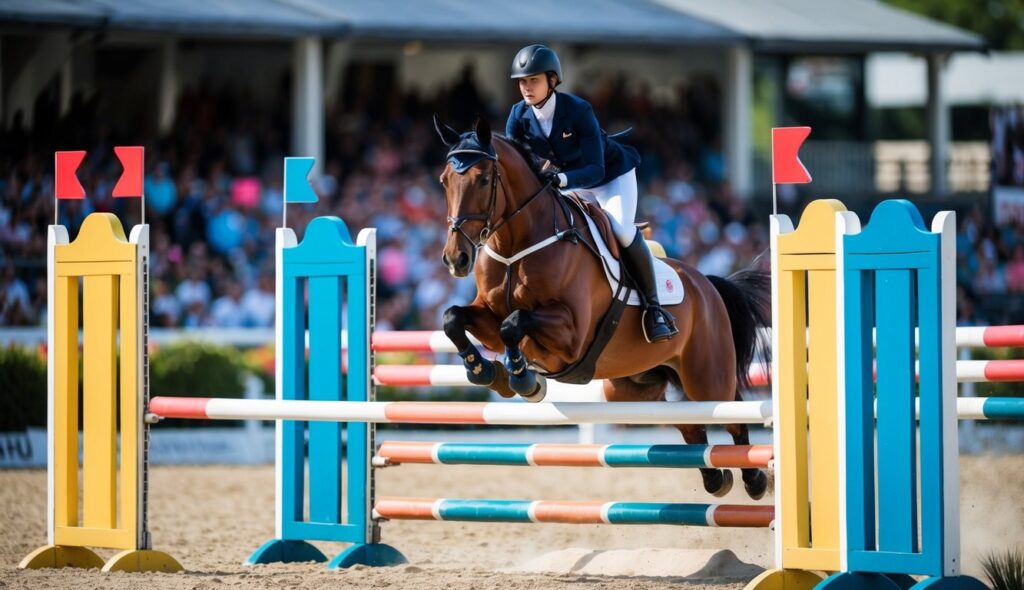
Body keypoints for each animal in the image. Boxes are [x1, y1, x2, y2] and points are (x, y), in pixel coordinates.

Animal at [432, 114, 770, 497]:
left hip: (706, 377)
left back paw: (755, 480)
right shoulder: (488, 319)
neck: (516, 244)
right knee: (686, 423)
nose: (455, 259)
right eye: (444, 181)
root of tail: (708, 284)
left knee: (733, 415)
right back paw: (716, 479)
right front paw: (485, 371)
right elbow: (454, 318)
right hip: (631, 386)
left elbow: (514, 324)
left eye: (484, 179)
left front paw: (521, 377)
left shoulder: (571, 334)